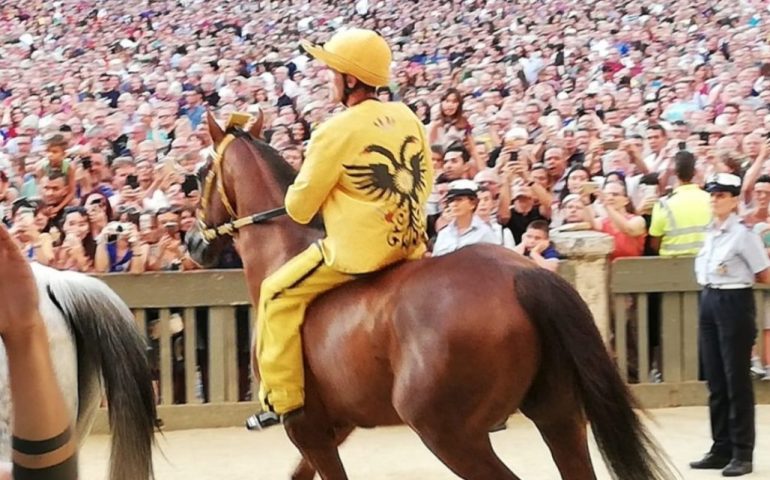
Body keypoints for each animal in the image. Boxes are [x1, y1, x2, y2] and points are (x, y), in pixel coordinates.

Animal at [188, 112, 672, 480]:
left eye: (199, 174)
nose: (193, 243)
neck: (285, 249)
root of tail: (522, 276)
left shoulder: (306, 426)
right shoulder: (335, 425)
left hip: (450, 434)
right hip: (560, 416)